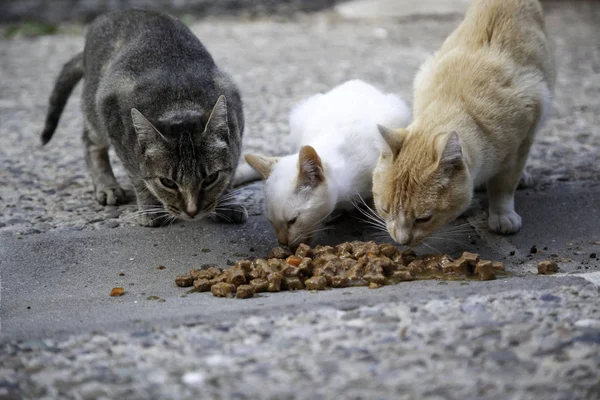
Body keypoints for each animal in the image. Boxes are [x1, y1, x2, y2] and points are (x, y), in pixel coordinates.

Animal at [40, 9, 246, 227]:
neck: (179, 100)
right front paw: (150, 207)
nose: (192, 212)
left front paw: (227, 202)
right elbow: (138, 176)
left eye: (210, 178)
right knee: (89, 141)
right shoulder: (115, 123)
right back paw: (107, 186)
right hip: (95, 113)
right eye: (167, 182)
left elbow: (231, 170)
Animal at [372, 0, 556, 245]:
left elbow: (503, 186)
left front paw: (502, 214)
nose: (401, 241)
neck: (454, 101)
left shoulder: (521, 142)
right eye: (385, 209)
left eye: (424, 218)